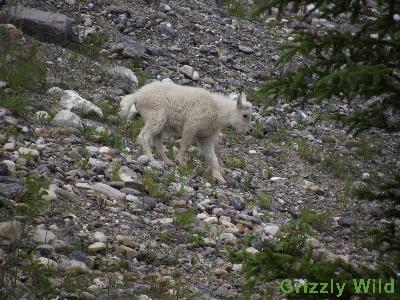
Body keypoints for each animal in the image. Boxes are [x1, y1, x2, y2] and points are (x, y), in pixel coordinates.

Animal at [119, 80, 253, 183]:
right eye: (245, 115)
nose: (249, 131)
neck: (218, 111)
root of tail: (137, 96)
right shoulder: (191, 126)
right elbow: (185, 145)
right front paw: (181, 162)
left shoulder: (205, 138)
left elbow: (212, 157)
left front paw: (219, 177)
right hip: (156, 117)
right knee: (144, 136)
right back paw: (152, 160)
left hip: (161, 125)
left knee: (157, 143)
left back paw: (168, 162)